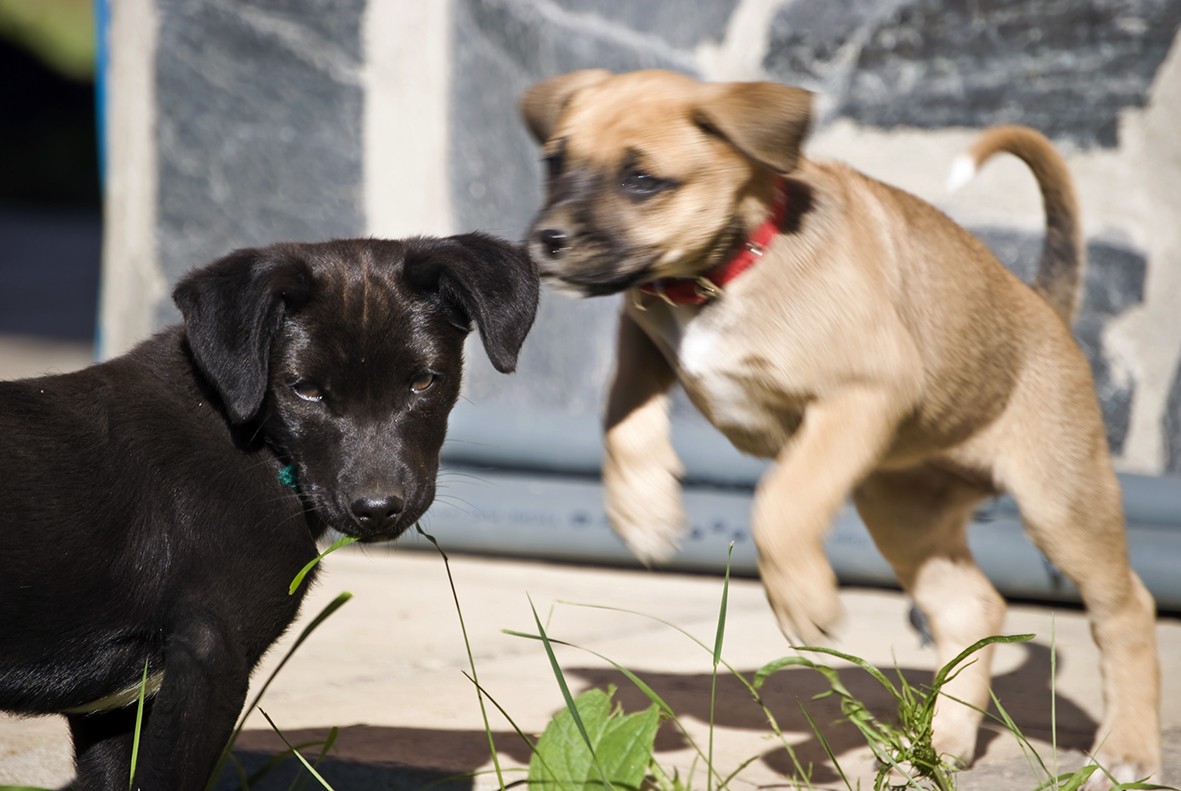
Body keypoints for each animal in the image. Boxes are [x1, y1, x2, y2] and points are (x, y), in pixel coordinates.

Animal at [0, 232, 540, 788]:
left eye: (423, 382)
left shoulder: (116, 709)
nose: (377, 509)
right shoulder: (209, 659)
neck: (255, 440)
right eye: (305, 389)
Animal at [522, 71, 1157, 788]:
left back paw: (1128, 746)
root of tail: (1044, 306)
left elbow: (782, 500)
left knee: (1125, 608)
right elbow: (621, 411)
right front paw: (643, 510)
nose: (544, 241)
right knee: (970, 607)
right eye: (554, 162)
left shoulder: (864, 392)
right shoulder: (641, 327)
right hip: (901, 512)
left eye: (640, 179)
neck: (728, 270)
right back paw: (944, 741)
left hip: (1061, 504)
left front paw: (804, 600)